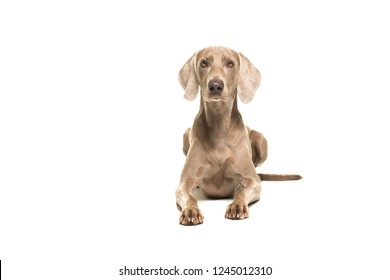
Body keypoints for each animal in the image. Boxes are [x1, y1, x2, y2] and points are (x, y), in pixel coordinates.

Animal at [177, 46, 302, 225]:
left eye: (230, 63)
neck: (219, 125)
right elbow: (188, 196)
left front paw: (237, 206)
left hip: (261, 140)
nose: (215, 86)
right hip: (185, 134)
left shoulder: (252, 181)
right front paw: (190, 210)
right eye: (204, 63)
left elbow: (243, 190)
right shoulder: (185, 182)